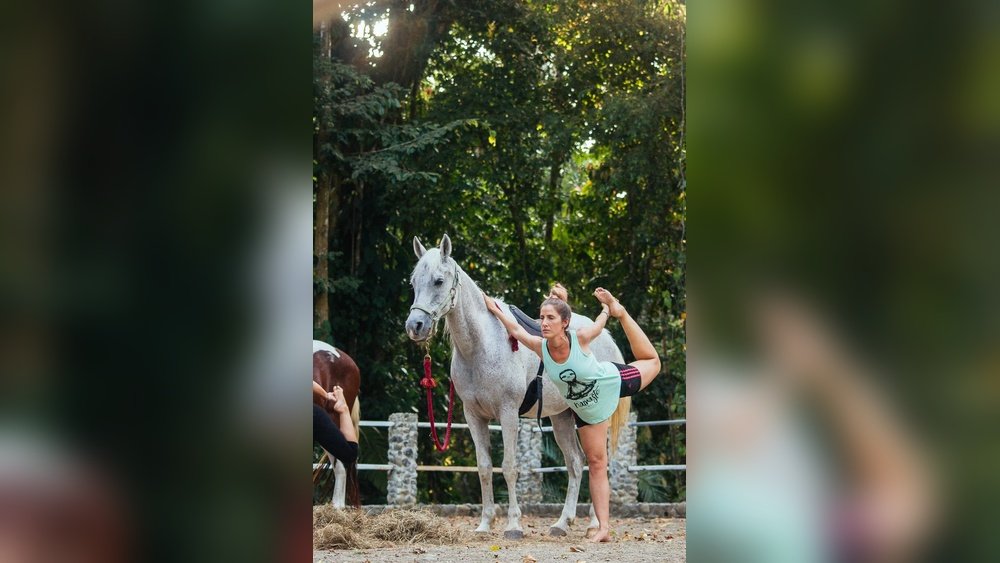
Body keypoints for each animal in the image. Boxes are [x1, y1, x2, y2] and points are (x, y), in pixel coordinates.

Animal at [405, 234, 630, 539]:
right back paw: (562, 523)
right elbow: (484, 467)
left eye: (439, 281)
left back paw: (594, 523)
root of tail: (603, 336)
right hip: (561, 417)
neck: (482, 345)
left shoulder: (508, 413)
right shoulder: (473, 416)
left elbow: (509, 467)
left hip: (592, 419)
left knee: (597, 461)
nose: (415, 326)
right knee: (575, 462)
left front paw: (513, 525)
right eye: (414, 283)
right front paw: (485, 524)